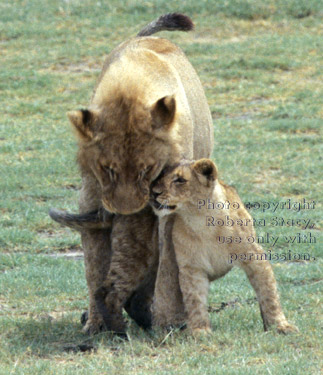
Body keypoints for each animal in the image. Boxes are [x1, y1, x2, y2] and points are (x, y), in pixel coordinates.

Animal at [50, 13, 215, 334]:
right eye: (107, 169)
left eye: (146, 169)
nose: (126, 212)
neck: (132, 86)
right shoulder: (91, 203)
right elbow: (94, 267)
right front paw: (96, 324)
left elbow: (166, 269)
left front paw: (165, 318)